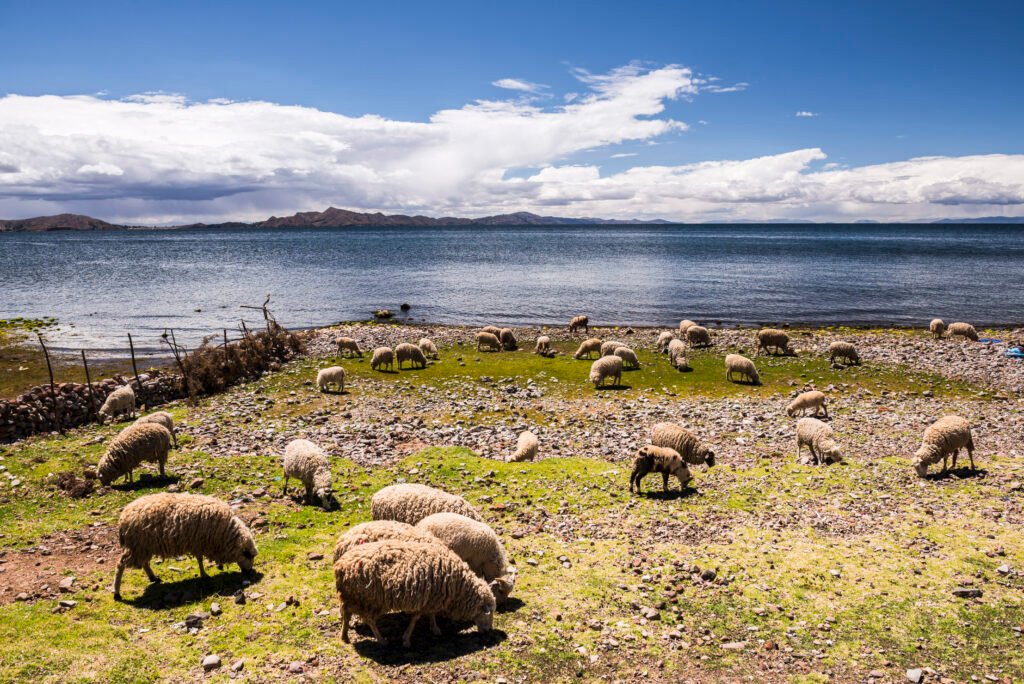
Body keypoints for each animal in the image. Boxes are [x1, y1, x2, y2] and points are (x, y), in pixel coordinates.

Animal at [110, 493, 256, 602]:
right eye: (247, 555)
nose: (249, 572)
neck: (226, 533)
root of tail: (123, 517)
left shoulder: (200, 543)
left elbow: (199, 559)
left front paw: (213, 568)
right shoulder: (200, 542)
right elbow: (200, 559)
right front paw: (205, 575)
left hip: (143, 547)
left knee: (145, 563)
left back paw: (153, 578)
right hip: (136, 546)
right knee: (120, 565)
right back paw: (117, 593)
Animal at [335, 540, 495, 647]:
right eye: (488, 614)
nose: (488, 631)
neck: (459, 587)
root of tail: (340, 566)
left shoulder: (432, 598)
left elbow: (431, 614)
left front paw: (434, 628)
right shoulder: (426, 599)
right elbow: (415, 619)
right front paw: (406, 639)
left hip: (351, 597)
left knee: (346, 613)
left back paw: (344, 636)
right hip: (369, 600)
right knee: (369, 619)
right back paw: (382, 640)